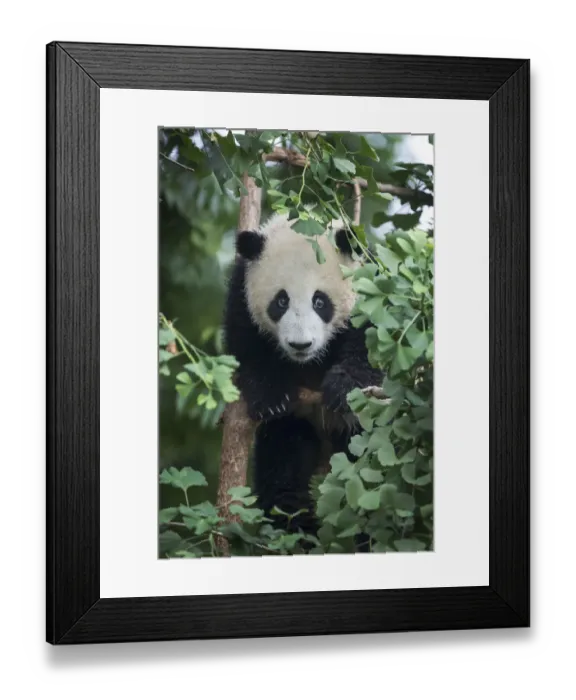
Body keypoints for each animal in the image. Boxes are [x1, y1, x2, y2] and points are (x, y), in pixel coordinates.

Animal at [223, 212, 383, 537]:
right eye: (281, 301)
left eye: (319, 301)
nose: (300, 345)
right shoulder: (241, 296)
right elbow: (247, 348)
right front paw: (271, 396)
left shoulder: (369, 284)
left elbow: (372, 342)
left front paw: (344, 387)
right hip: (296, 429)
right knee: (284, 470)